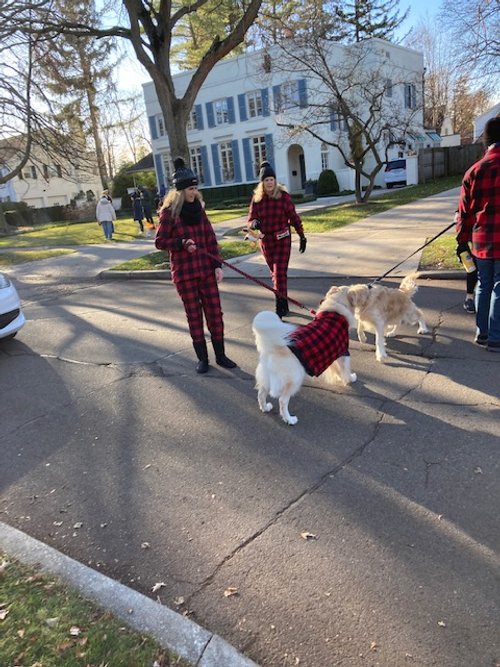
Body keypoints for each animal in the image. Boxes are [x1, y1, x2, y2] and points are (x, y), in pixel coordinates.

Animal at [252, 286, 358, 422]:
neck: (335, 307)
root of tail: (274, 348)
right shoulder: (344, 352)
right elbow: (346, 370)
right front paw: (350, 379)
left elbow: (336, 369)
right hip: (293, 380)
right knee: (282, 401)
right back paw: (289, 419)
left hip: (265, 378)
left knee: (261, 394)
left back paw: (265, 408)